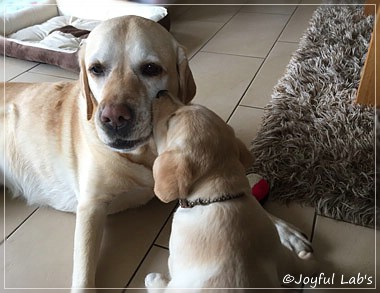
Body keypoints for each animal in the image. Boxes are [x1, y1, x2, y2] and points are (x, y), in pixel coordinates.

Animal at [0, 15, 196, 290]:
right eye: (96, 69)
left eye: (150, 69)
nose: (113, 118)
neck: (141, 154)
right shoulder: (90, 207)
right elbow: (83, 270)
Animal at [145, 92, 318, 290]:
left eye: (169, 121)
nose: (161, 92)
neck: (218, 197)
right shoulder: (278, 254)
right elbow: (302, 265)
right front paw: (306, 257)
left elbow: (163, 286)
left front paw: (153, 279)